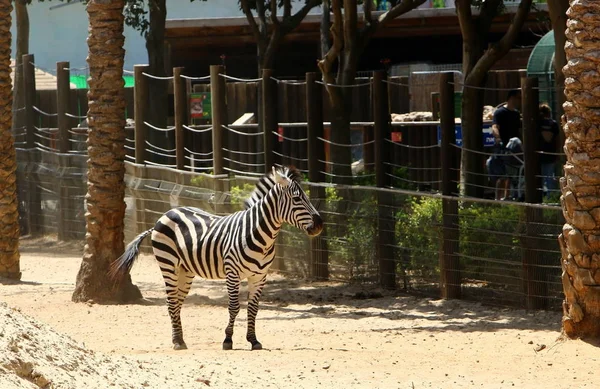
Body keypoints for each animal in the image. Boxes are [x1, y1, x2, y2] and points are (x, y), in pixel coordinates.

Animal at [109, 165, 322, 350]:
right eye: (297, 199)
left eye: (306, 197)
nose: (319, 225)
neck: (259, 235)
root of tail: (166, 214)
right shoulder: (232, 272)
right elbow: (234, 307)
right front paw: (228, 340)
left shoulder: (260, 276)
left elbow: (253, 308)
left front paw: (253, 341)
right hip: (167, 263)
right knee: (170, 302)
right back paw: (177, 342)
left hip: (185, 271)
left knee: (177, 302)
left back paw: (180, 339)